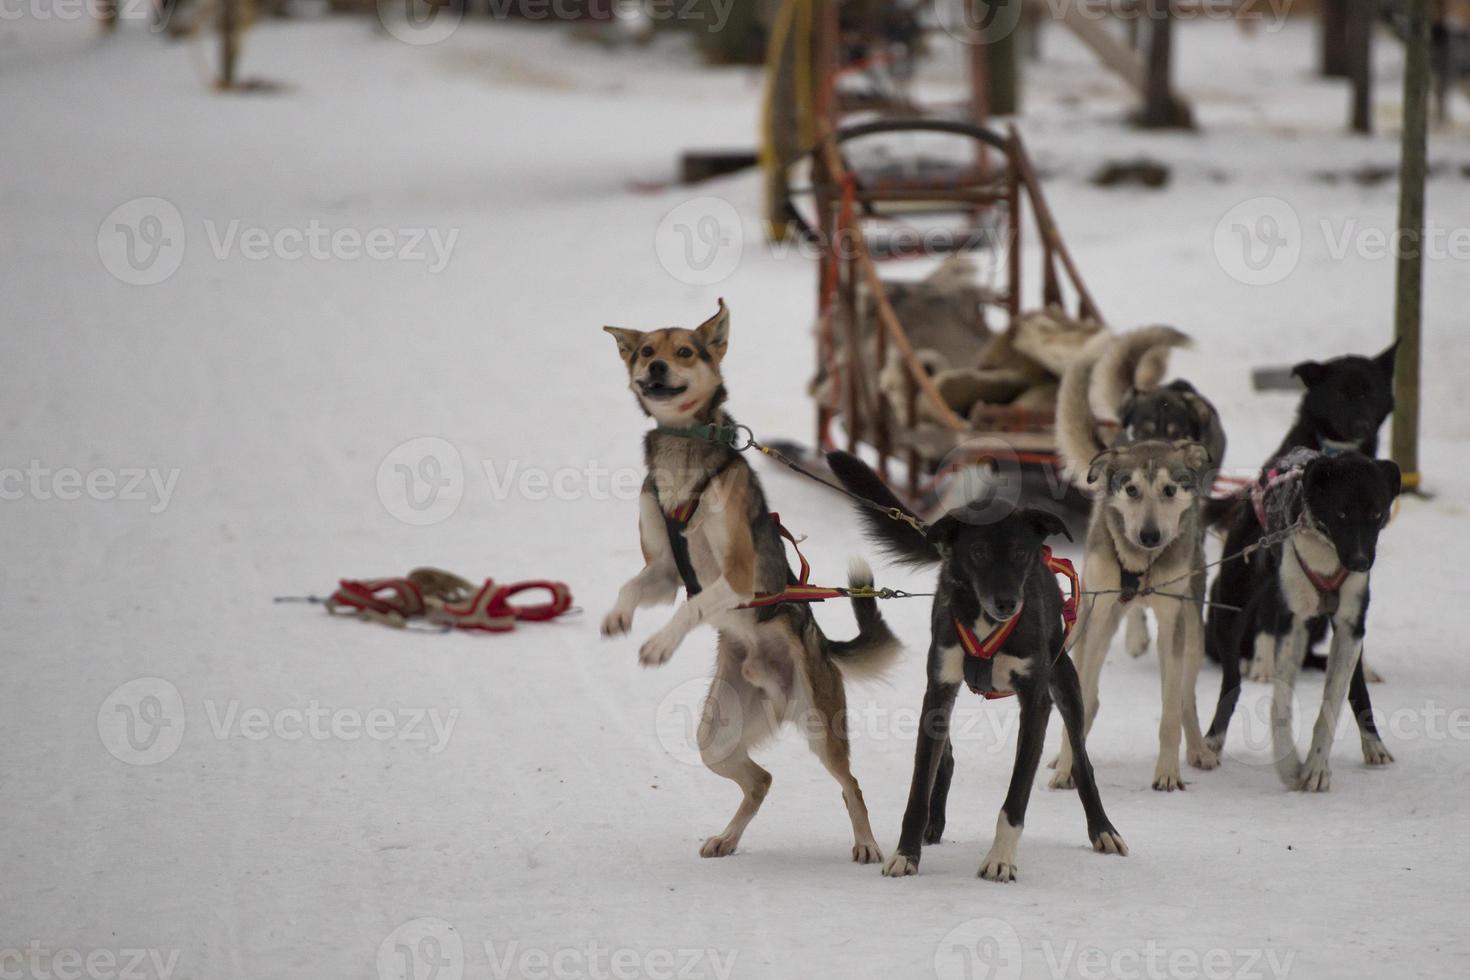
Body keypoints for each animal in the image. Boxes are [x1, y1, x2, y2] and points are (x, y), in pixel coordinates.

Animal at [599, 302, 899, 863]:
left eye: (685, 351)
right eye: (647, 350)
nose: (655, 368)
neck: (684, 449)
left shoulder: (735, 576)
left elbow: (692, 608)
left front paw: (659, 645)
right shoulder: (665, 571)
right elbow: (633, 587)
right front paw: (618, 617)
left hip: (820, 727)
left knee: (851, 785)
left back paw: (868, 844)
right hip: (714, 738)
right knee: (761, 780)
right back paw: (727, 837)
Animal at [829, 449, 1123, 881]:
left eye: (1020, 553)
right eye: (979, 552)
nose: (1007, 603)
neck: (987, 622)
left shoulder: (1036, 704)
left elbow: (1017, 795)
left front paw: (1000, 858)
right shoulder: (938, 689)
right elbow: (919, 786)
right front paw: (906, 853)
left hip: (1065, 681)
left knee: (1082, 760)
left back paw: (1103, 828)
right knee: (945, 756)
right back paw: (934, 823)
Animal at [1205, 449, 1399, 787]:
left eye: (1377, 513)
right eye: (1341, 514)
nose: (1360, 562)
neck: (1328, 554)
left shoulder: (1350, 627)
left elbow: (1334, 701)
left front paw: (1316, 767)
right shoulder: (1291, 621)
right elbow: (1280, 705)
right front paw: (1289, 765)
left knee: (1356, 687)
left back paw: (1373, 743)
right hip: (1231, 605)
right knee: (1232, 682)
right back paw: (1212, 742)